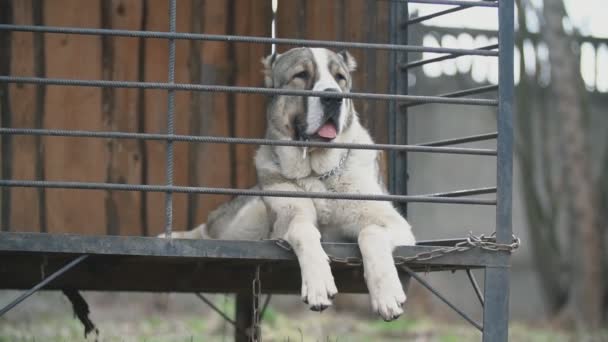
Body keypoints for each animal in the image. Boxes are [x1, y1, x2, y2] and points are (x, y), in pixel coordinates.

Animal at [164, 47, 416, 320]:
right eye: (301, 75)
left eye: (340, 78)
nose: (333, 98)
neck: (317, 174)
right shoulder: (288, 216)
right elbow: (303, 230)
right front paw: (318, 283)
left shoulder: (398, 226)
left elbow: (371, 232)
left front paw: (387, 294)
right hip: (244, 222)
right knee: (208, 231)